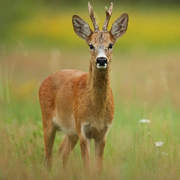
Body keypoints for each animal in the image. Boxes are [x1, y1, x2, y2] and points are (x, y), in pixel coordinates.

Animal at [38, 1, 129, 173]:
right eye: (90, 45)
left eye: (111, 45)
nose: (101, 60)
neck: (96, 114)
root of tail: (44, 80)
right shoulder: (82, 129)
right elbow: (87, 166)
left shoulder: (103, 132)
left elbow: (98, 166)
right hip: (48, 119)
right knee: (48, 156)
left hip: (70, 131)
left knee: (62, 153)